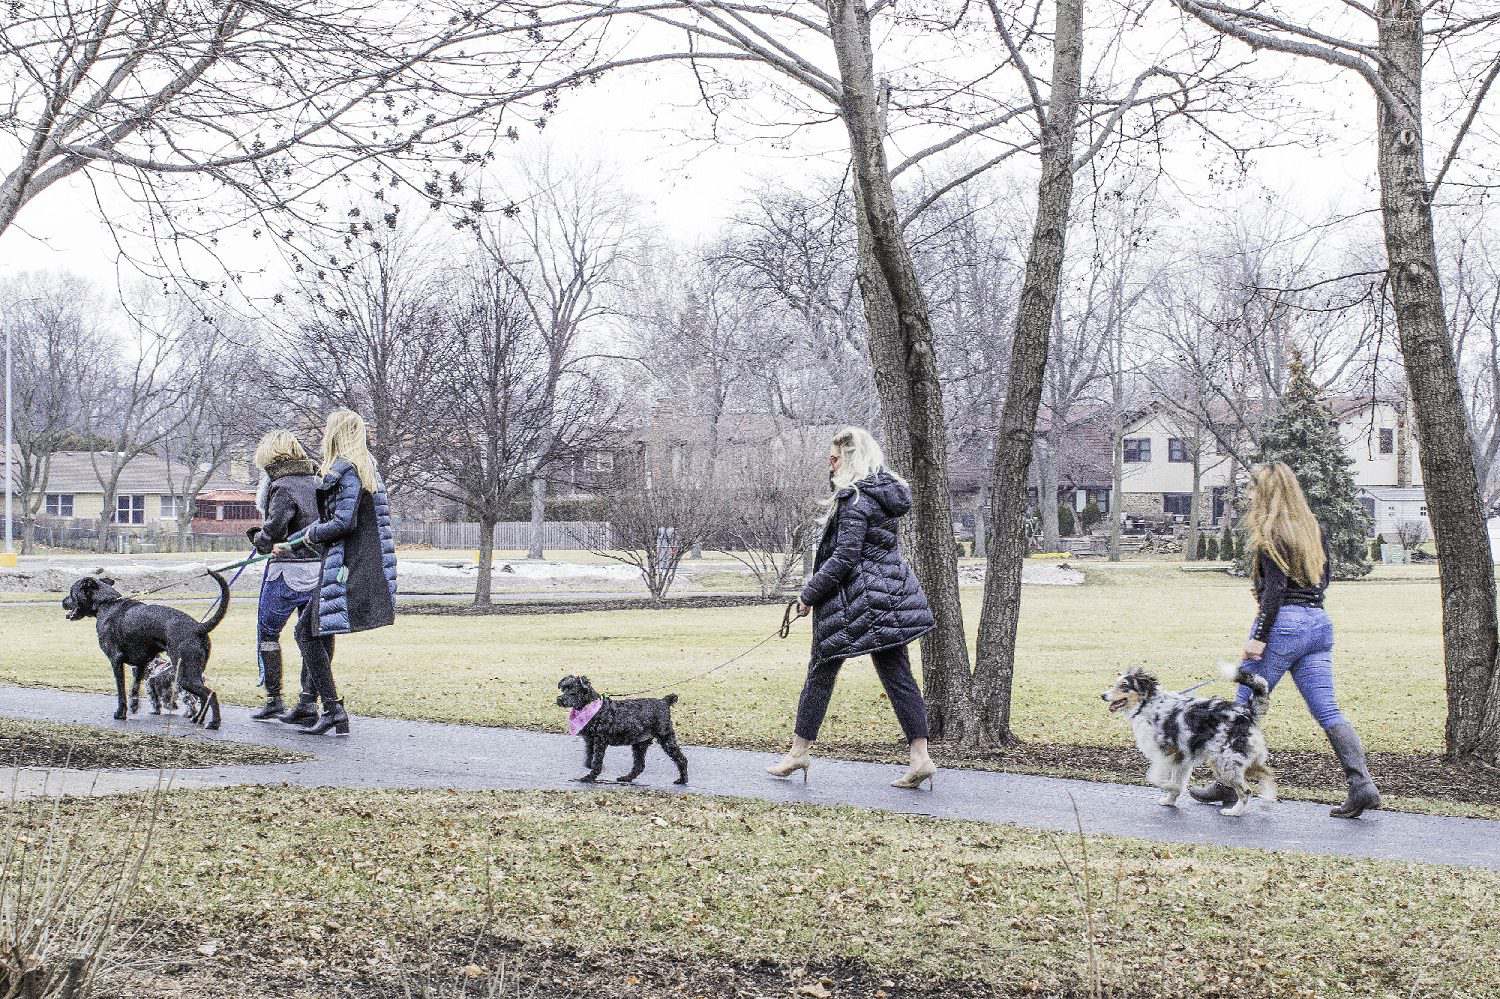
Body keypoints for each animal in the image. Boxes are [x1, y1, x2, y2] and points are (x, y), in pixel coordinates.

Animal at [61, 573, 228, 729]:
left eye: (71, 592)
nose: (62, 602)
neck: (106, 603)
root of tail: (198, 627)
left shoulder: (116, 661)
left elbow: (121, 690)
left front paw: (120, 713)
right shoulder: (141, 664)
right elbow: (134, 687)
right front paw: (134, 706)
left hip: (185, 676)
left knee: (210, 694)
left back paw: (214, 723)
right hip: (194, 673)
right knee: (203, 697)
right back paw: (197, 718)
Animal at [555, 672, 687, 780]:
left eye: (573, 690)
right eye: (564, 688)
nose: (560, 699)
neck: (592, 707)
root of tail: (664, 702)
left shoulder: (600, 741)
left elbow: (596, 761)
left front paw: (590, 777)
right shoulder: (590, 741)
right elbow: (589, 758)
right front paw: (590, 768)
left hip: (666, 739)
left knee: (682, 759)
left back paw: (682, 780)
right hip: (640, 744)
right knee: (639, 766)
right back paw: (626, 778)